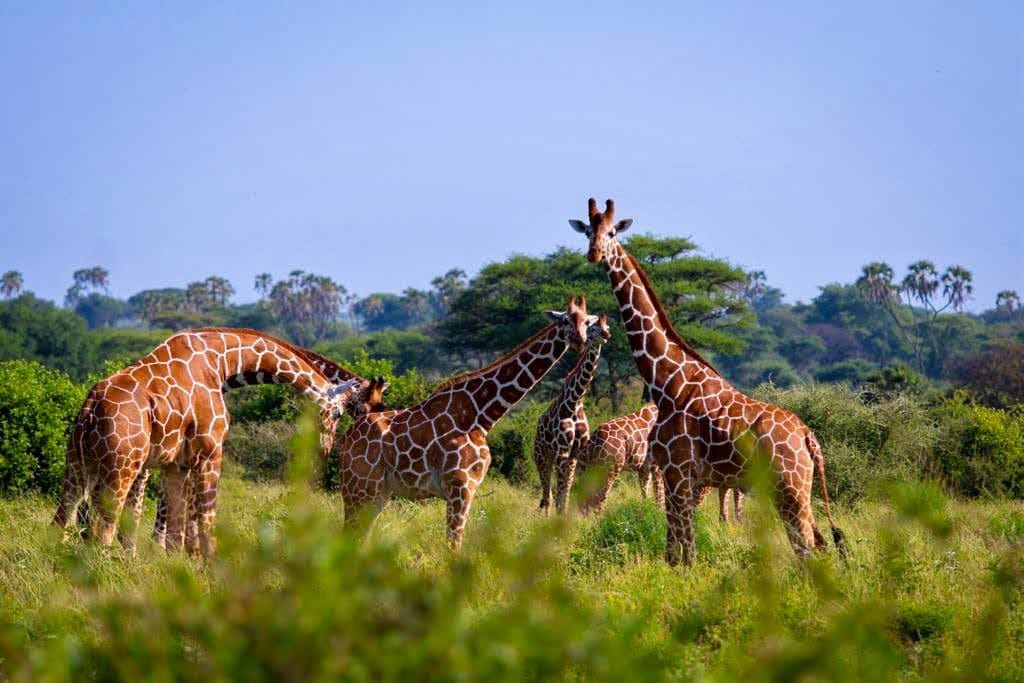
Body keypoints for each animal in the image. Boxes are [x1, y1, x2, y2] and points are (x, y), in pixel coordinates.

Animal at [52, 327, 364, 557]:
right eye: (338, 413)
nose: (325, 450)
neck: (222, 361)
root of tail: (91, 406)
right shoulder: (210, 452)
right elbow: (206, 518)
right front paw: (210, 568)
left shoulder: (176, 464)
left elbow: (176, 529)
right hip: (122, 466)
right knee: (102, 527)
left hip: (77, 462)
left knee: (63, 520)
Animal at [335, 296, 598, 548]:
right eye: (565, 320)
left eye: (587, 322)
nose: (579, 341)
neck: (482, 413)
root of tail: (347, 438)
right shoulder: (460, 485)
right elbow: (453, 545)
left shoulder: (466, 488)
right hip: (360, 488)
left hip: (377, 492)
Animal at [532, 313, 610, 511]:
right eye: (592, 328)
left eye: (608, 326)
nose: (606, 335)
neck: (575, 401)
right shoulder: (563, 450)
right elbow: (560, 495)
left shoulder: (577, 451)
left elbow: (568, 493)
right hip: (541, 455)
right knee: (547, 496)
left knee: (554, 494)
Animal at [573, 198, 843, 565]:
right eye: (588, 230)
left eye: (612, 232)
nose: (595, 253)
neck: (668, 382)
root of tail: (808, 437)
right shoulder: (677, 474)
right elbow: (677, 549)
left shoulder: (678, 471)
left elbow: (683, 551)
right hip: (796, 489)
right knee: (819, 543)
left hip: (789, 488)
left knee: (806, 548)